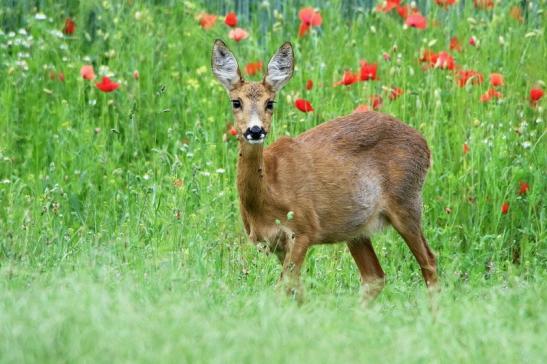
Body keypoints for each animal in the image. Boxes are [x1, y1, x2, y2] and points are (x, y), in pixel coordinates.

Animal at [212, 39, 438, 302]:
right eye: (236, 102)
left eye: (270, 102)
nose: (255, 130)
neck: (268, 191)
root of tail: (424, 144)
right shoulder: (278, 245)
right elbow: (296, 290)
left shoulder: (303, 229)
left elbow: (282, 288)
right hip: (356, 229)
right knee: (375, 276)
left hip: (406, 202)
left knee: (429, 262)